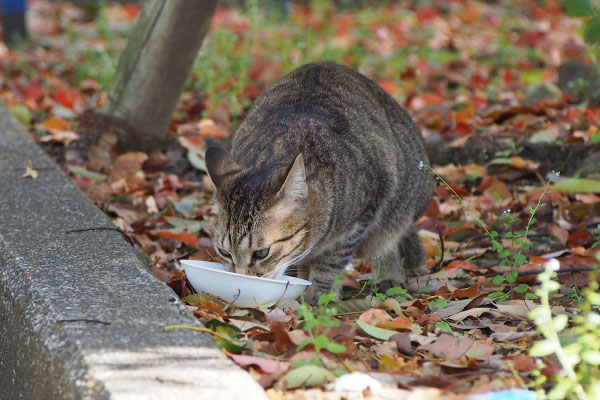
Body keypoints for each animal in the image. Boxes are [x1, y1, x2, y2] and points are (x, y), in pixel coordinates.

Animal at [205, 61, 432, 300]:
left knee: (388, 239)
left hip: (404, 197)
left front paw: (319, 295)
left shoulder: (362, 216)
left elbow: (330, 263)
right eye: (224, 252)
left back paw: (390, 275)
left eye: (261, 253)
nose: (239, 277)